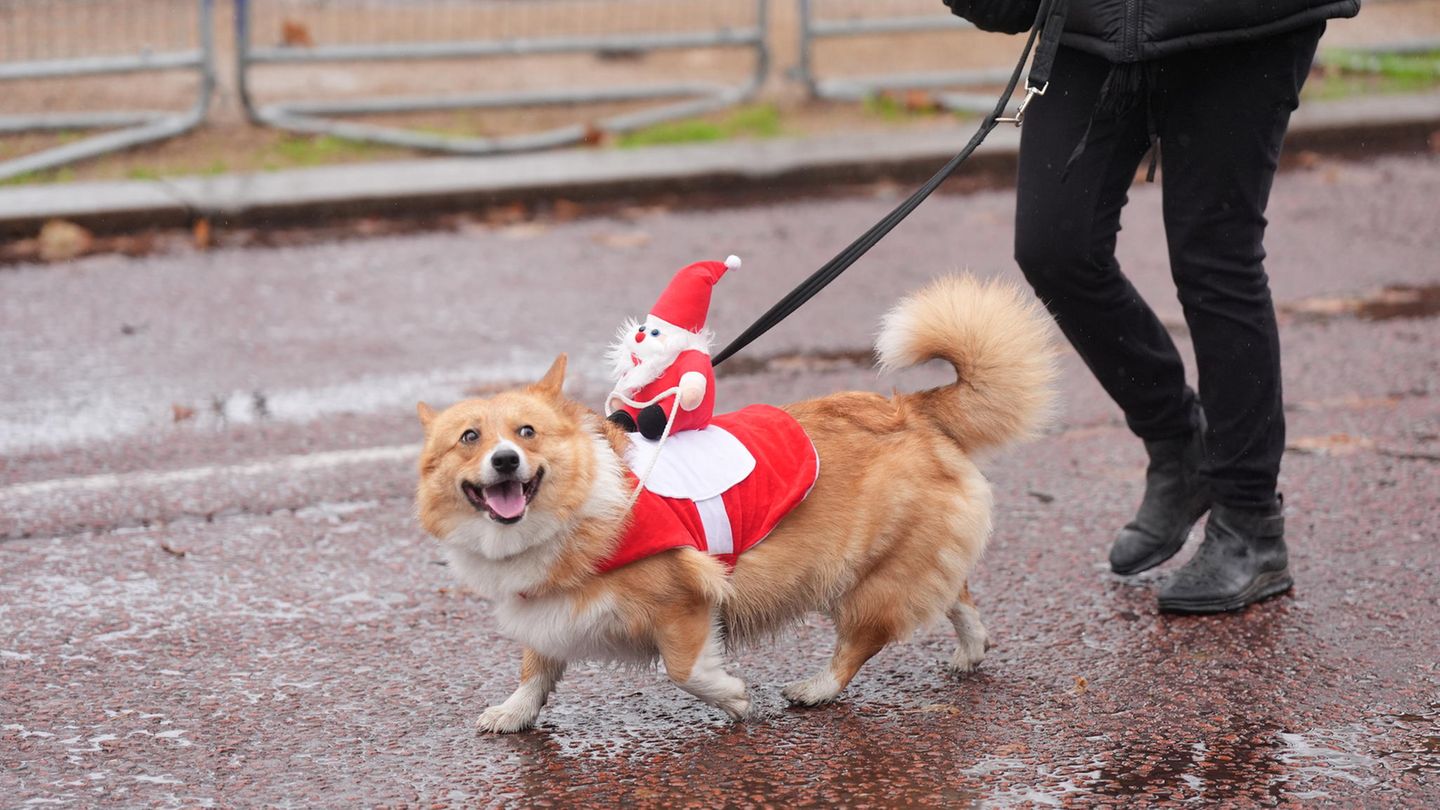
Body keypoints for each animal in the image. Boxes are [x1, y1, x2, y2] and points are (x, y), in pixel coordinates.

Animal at [417, 273, 1059, 729]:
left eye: (526, 432)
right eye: (469, 438)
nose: (505, 461)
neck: (573, 512)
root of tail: (913, 408)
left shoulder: (683, 600)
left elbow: (684, 669)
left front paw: (733, 698)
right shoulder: (549, 614)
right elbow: (535, 669)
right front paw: (512, 714)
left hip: (859, 579)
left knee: (863, 639)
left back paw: (815, 689)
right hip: (909, 560)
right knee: (955, 593)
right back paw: (971, 651)